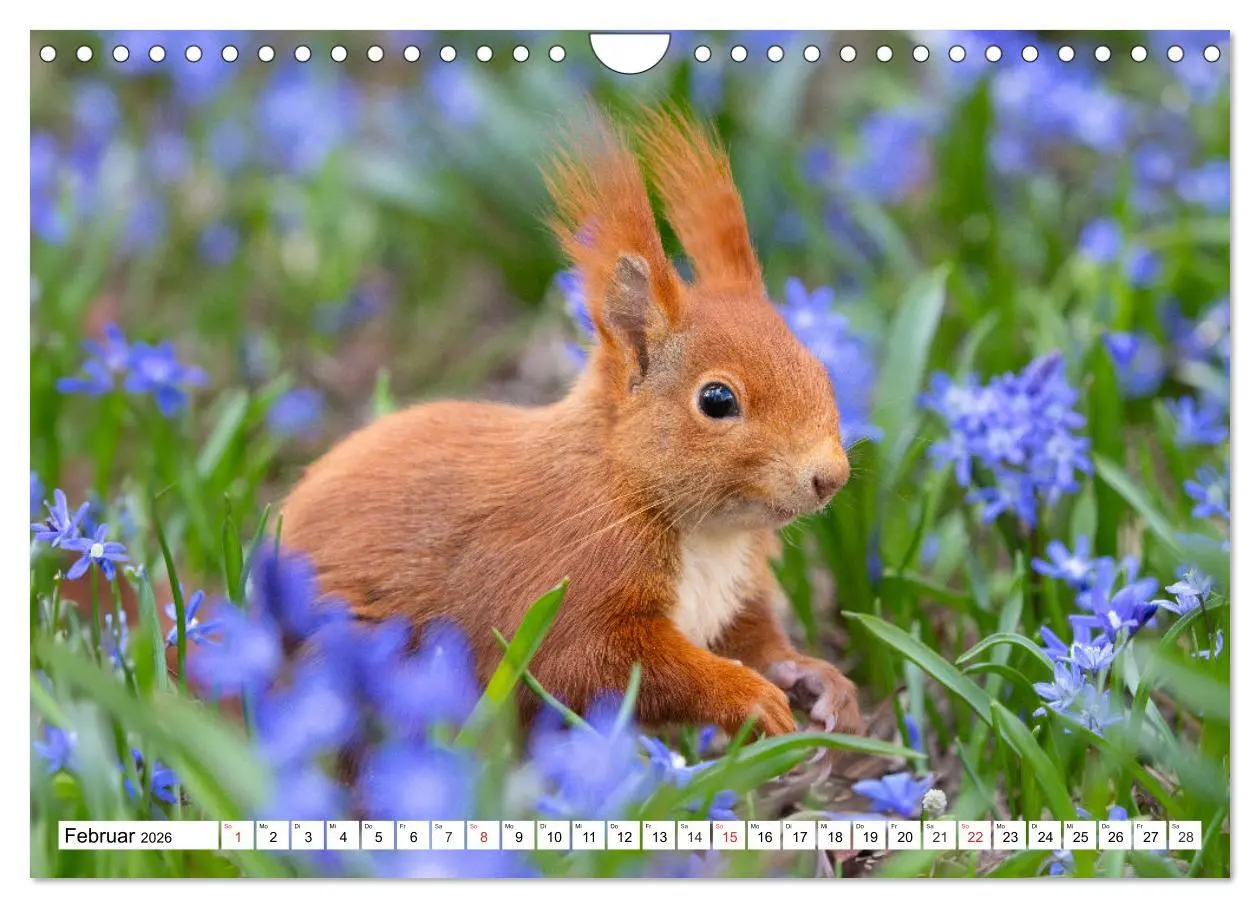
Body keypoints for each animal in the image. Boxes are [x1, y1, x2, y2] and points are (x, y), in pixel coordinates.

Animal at [280, 107, 865, 738]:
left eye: (820, 365)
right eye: (716, 399)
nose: (830, 477)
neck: (704, 534)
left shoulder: (733, 595)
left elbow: (755, 640)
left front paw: (816, 677)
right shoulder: (565, 573)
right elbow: (589, 662)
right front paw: (748, 696)